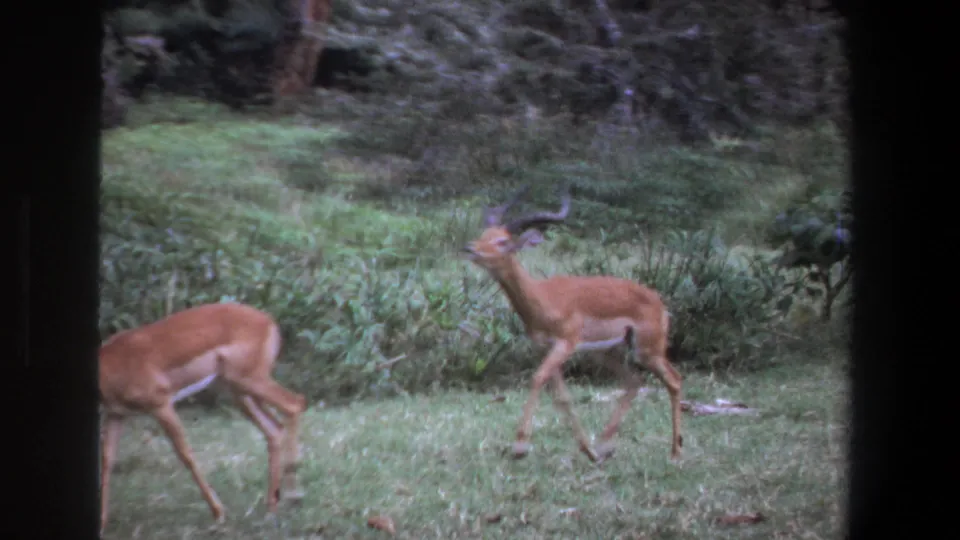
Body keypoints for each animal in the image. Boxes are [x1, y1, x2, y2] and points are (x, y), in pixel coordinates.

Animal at [98, 302, 306, 535]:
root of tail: (269, 321)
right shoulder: (115, 414)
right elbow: (107, 460)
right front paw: (102, 523)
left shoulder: (161, 404)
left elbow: (186, 454)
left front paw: (219, 513)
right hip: (238, 390)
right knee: (275, 427)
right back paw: (272, 507)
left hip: (249, 379)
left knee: (295, 403)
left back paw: (293, 496)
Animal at [462, 187, 683, 463]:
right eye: (484, 234)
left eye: (502, 241)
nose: (470, 248)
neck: (543, 297)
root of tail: (658, 302)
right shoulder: (546, 348)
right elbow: (563, 396)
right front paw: (587, 450)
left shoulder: (566, 343)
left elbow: (537, 378)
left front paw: (520, 445)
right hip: (606, 352)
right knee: (634, 381)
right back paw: (603, 446)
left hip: (647, 350)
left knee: (674, 380)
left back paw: (675, 453)